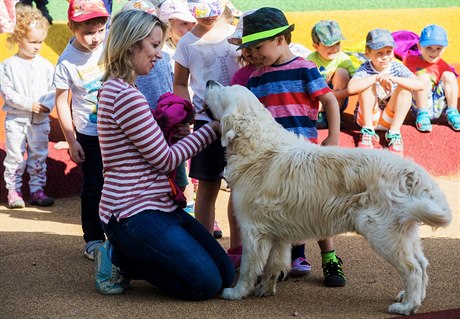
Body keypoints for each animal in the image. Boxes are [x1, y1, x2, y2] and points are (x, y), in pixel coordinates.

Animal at [205, 81, 452, 316]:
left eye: (224, 90)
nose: (209, 82)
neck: (257, 148)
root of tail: (412, 171)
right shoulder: (277, 233)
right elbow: (273, 265)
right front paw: (266, 289)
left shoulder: (252, 230)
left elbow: (248, 266)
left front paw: (237, 292)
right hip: (405, 232)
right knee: (422, 264)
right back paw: (412, 297)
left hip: (383, 233)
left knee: (413, 269)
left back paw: (407, 306)